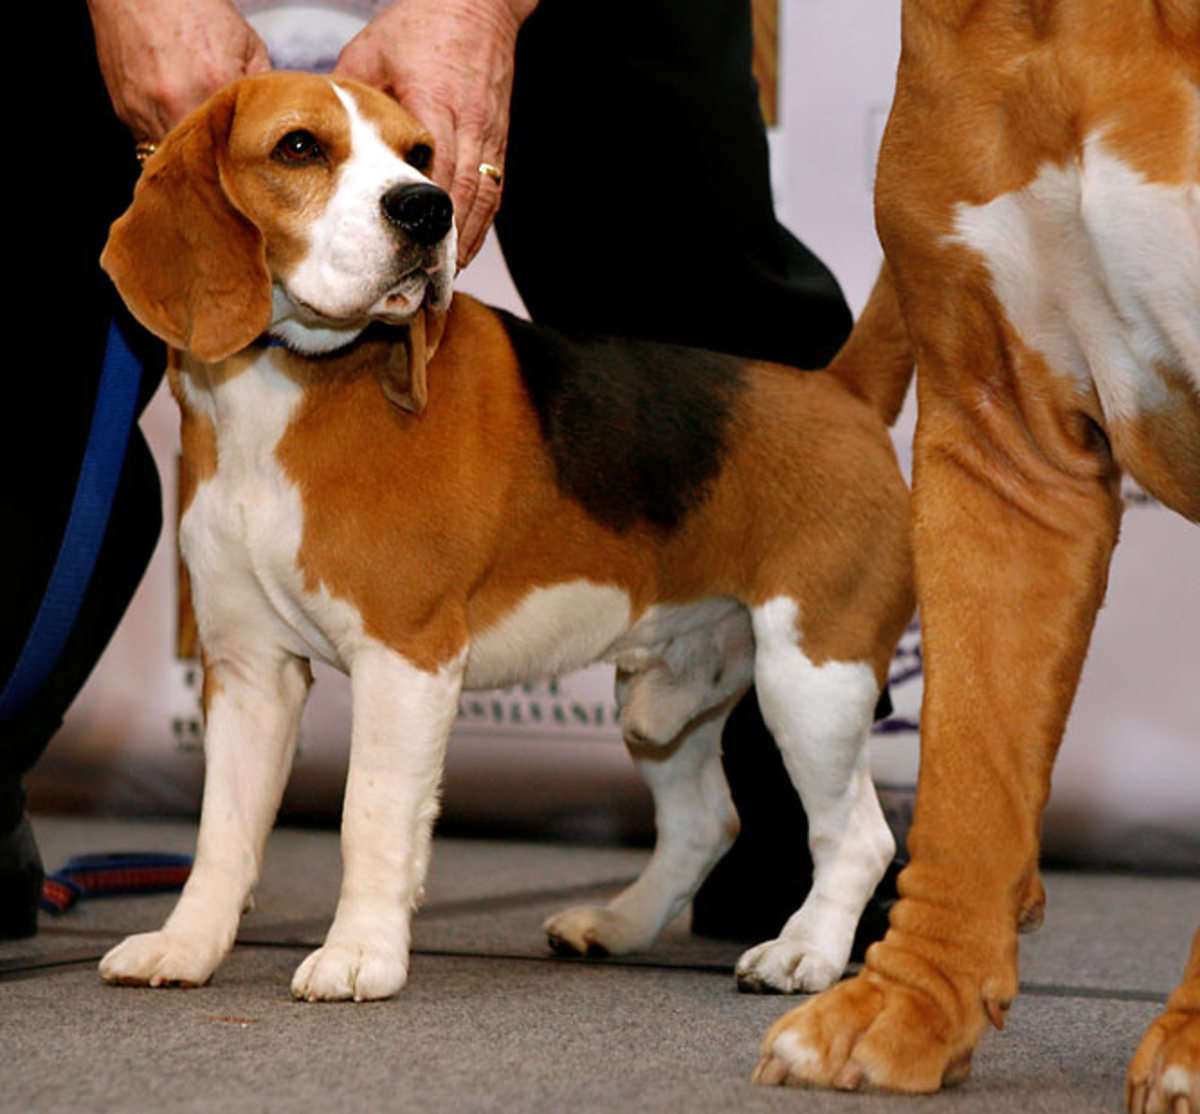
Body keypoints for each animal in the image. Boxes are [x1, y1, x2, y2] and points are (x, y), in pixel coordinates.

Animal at [98, 73, 912, 1003]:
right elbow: (222, 834)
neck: (289, 382)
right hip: (664, 696)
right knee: (707, 820)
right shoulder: (246, 668)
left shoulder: (406, 656)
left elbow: (370, 813)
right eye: (299, 146)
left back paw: (805, 950)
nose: (428, 208)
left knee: (858, 837)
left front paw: (360, 954)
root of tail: (840, 390)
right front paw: (186, 944)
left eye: (419, 152)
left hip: (813, 679)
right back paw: (619, 925)